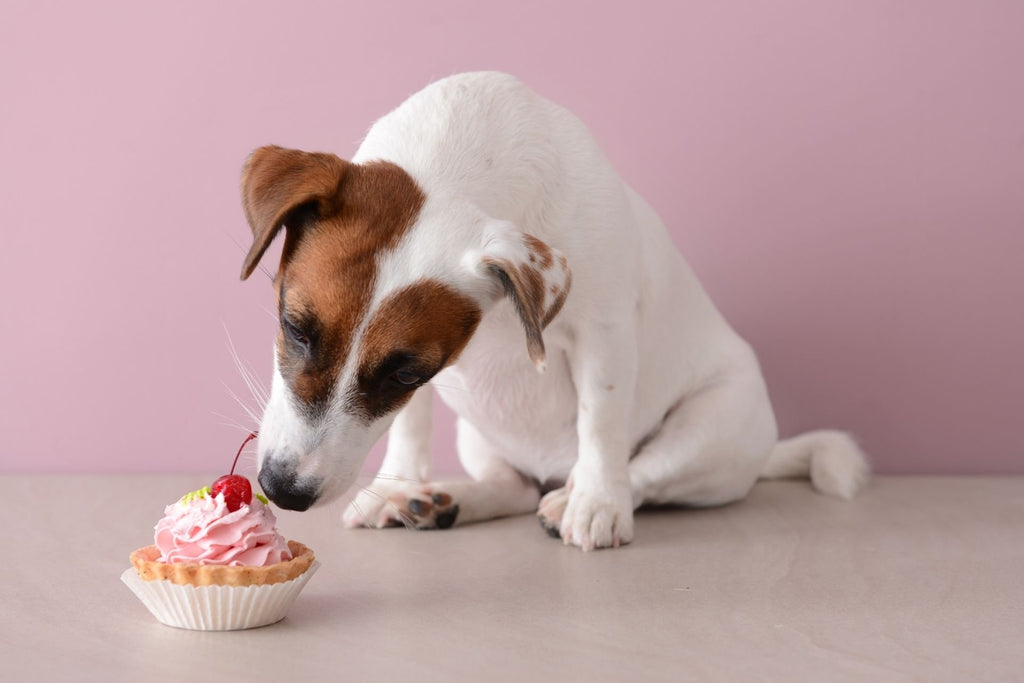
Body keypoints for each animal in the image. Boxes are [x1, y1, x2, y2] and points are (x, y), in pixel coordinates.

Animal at [241, 70, 872, 548]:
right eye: (295, 327)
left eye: (404, 373)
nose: (285, 490)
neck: (460, 163)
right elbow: (412, 426)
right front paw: (400, 483)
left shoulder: (604, 333)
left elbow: (602, 419)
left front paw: (596, 503)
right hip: (480, 438)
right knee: (518, 487)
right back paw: (444, 499)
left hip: (714, 425)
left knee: (644, 474)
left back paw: (579, 498)